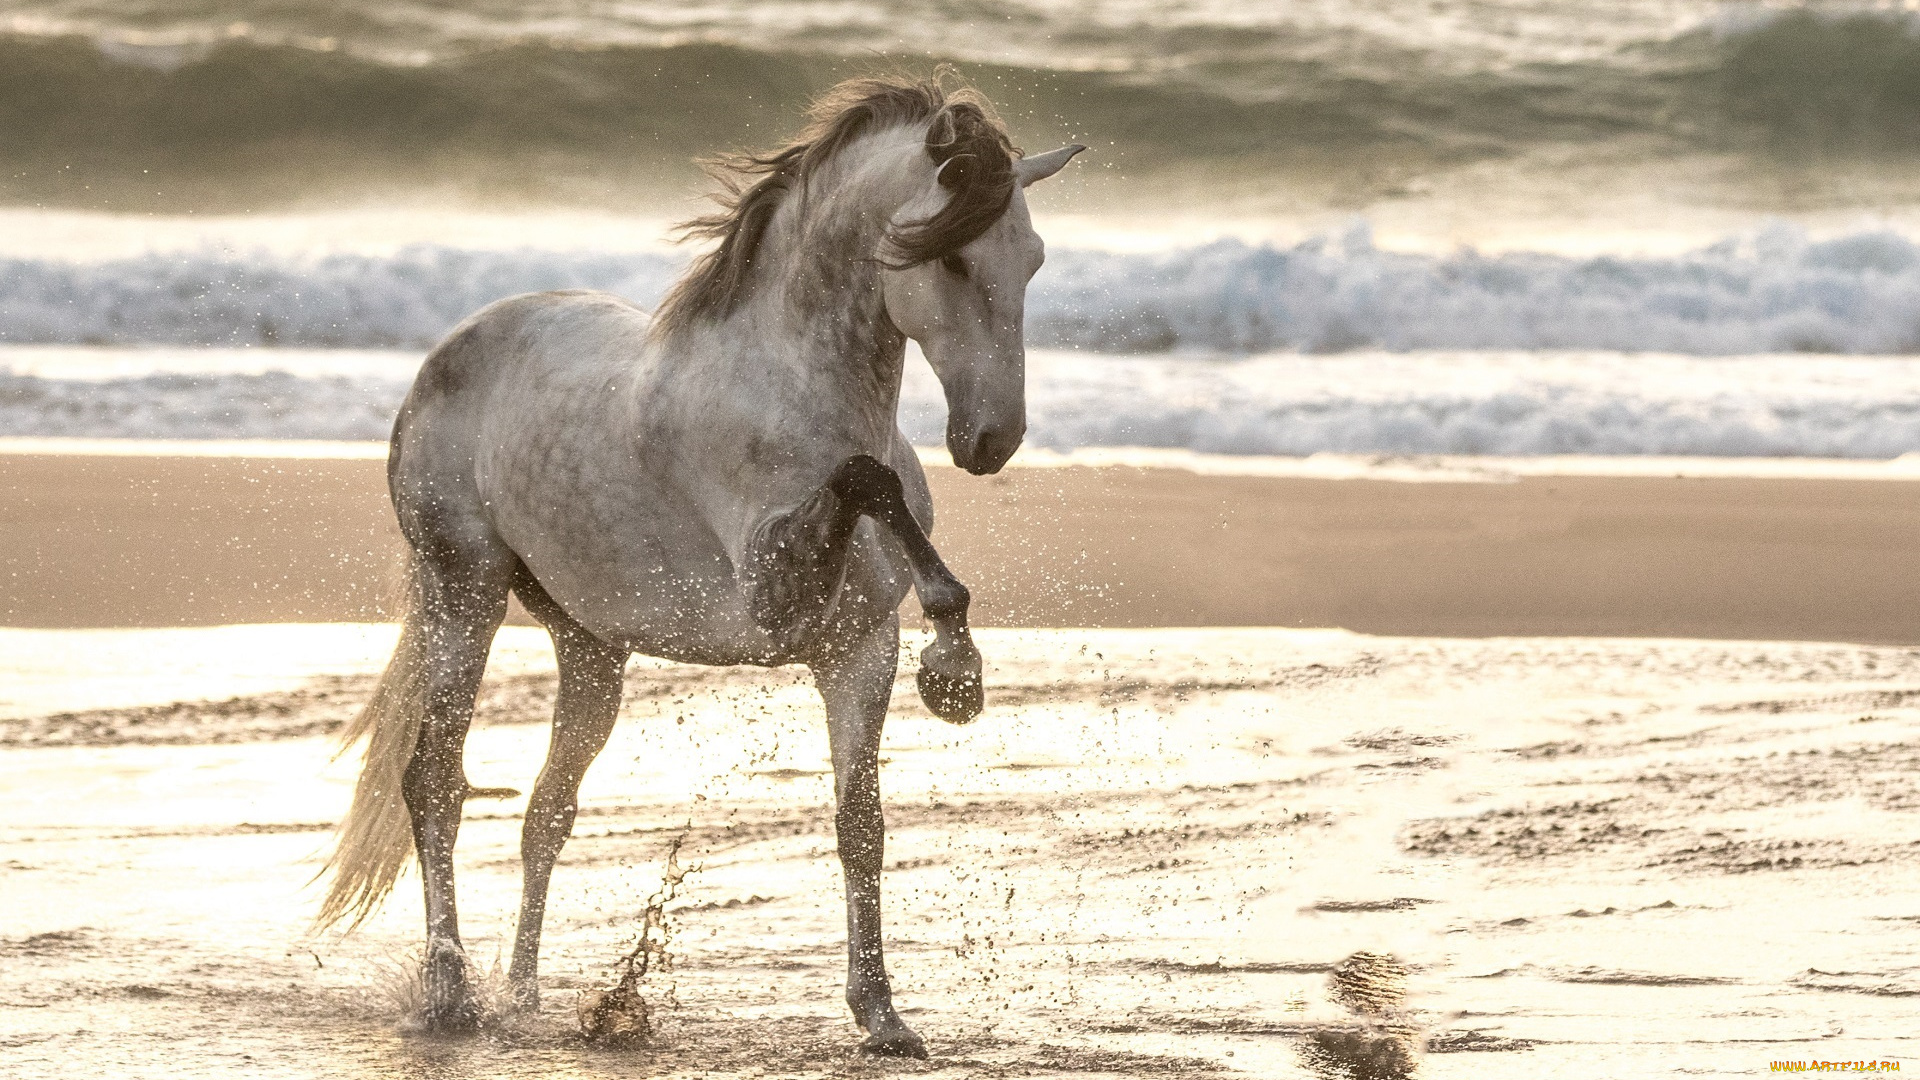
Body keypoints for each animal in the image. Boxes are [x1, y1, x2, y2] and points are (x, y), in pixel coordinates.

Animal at [314, 79, 1082, 1053]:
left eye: (1033, 260)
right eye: (949, 262)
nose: (991, 441)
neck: (791, 392)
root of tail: (447, 354)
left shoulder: (857, 652)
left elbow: (860, 825)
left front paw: (882, 1016)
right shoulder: (775, 601)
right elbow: (866, 483)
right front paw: (955, 664)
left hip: (591, 647)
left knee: (546, 810)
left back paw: (522, 996)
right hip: (464, 592)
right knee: (435, 784)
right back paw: (451, 996)